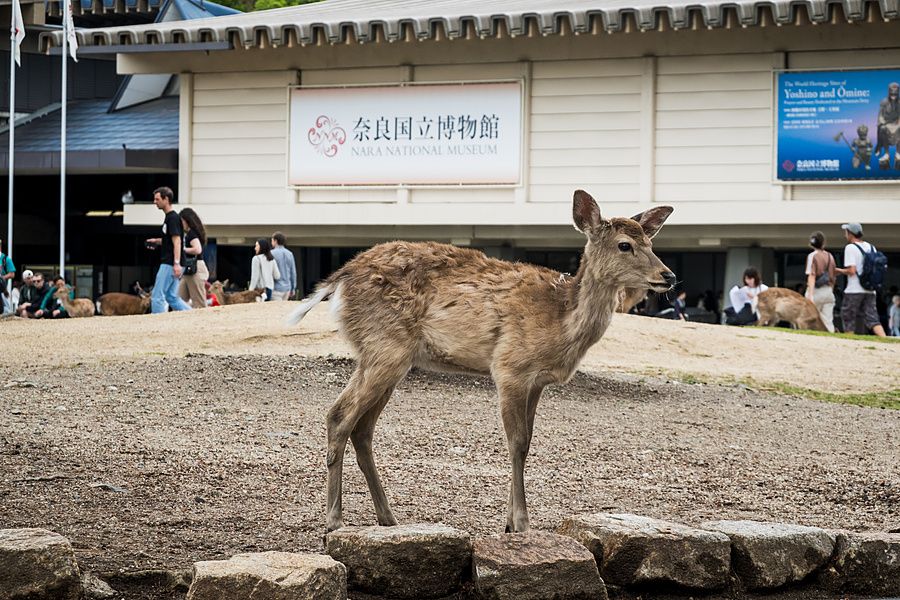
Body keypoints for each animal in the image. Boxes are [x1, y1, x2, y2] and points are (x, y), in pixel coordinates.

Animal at [287, 190, 675, 534]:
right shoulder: (509, 367)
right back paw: (334, 520)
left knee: (362, 427)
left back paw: (389, 518)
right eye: (625, 244)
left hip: (386, 356)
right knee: (339, 415)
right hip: (385, 346)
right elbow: (517, 442)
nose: (668, 276)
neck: (561, 320)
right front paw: (521, 523)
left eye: (651, 243)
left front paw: (509, 522)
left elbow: (527, 442)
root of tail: (339, 280)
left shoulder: (537, 382)